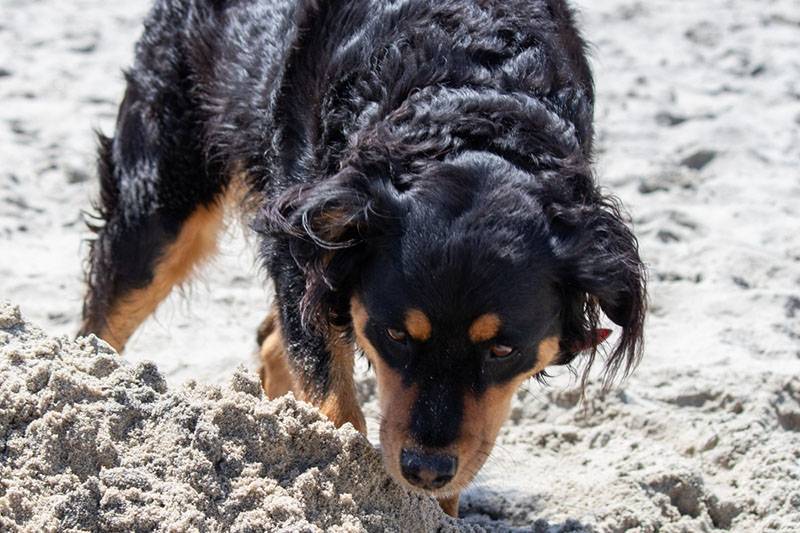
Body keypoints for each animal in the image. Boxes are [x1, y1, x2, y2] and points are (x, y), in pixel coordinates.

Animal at [78, 0, 648, 516]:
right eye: (395, 334)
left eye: (503, 350)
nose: (425, 469)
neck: (474, 97)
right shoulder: (306, 238)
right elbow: (336, 405)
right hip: (161, 204)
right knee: (103, 323)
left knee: (270, 342)